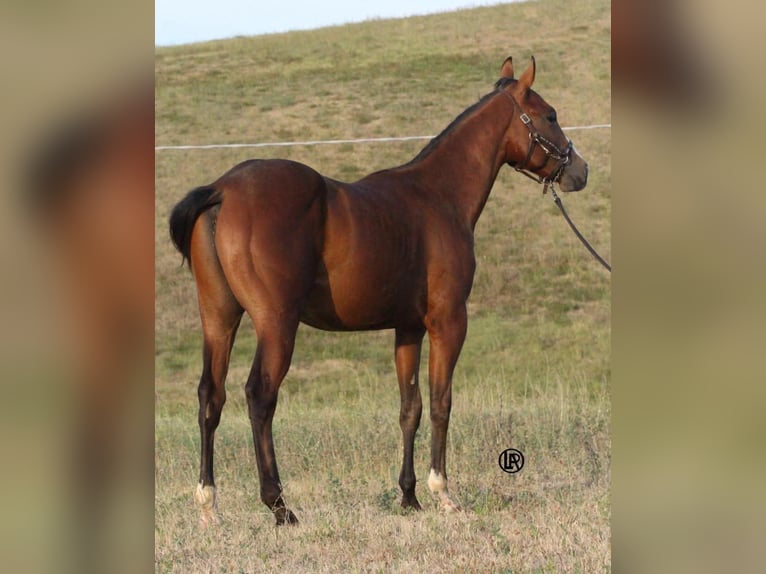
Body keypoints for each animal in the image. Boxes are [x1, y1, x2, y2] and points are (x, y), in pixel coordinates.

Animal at [169, 56, 588, 526]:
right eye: (550, 115)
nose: (580, 170)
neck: (438, 197)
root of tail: (222, 189)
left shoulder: (408, 329)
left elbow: (411, 408)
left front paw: (409, 496)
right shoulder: (449, 322)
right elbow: (441, 402)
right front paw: (443, 492)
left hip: (219, 318)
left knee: (211, 396)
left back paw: (208, 503)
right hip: (275, 324)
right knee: (260, 395)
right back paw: (279, 505)